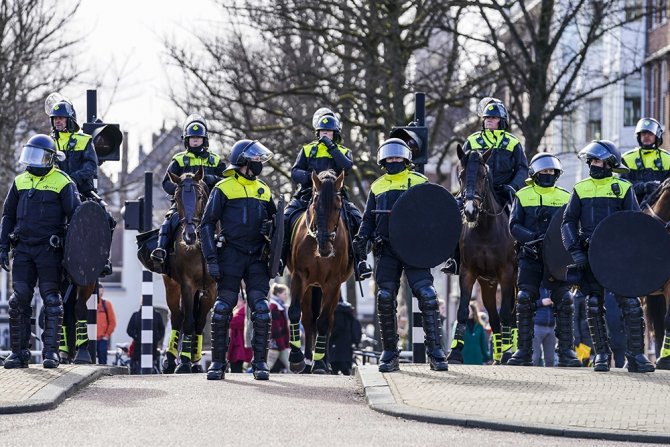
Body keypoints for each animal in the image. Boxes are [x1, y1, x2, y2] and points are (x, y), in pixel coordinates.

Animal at [162, 169, 217, 374]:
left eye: (199, 196)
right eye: (177, 198)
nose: (189, 236)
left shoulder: (212, 288)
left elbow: (200, 322)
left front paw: (194, 360)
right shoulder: (186, 284)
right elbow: (188, 321)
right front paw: (184, 363)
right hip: (171, 285)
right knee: (177, 317)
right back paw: (170, 361)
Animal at [286, 170, 354, 372]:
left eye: (337, 207)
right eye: (315, 206)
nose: (325, 246)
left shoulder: (332, 284)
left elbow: (324, 322)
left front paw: (319, 363)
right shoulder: (299, 277)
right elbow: (295, 312)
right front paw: (296, 358)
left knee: (327, 321)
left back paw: (322, 361)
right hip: (311, 287)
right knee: (309, 320)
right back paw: (308, 359)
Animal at [448, 149, 524, 366]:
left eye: (483, 175)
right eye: (461, 175)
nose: (470, 211)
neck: (485, 230)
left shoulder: (507, 274)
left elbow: (507, 314)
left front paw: (507, 353)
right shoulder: (468, 272)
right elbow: (463, 310)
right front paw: (454, 353)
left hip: (514, 281)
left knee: (512, 315)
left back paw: (511, 352)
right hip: (487, 284)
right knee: (494, 316)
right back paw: (497, 355)